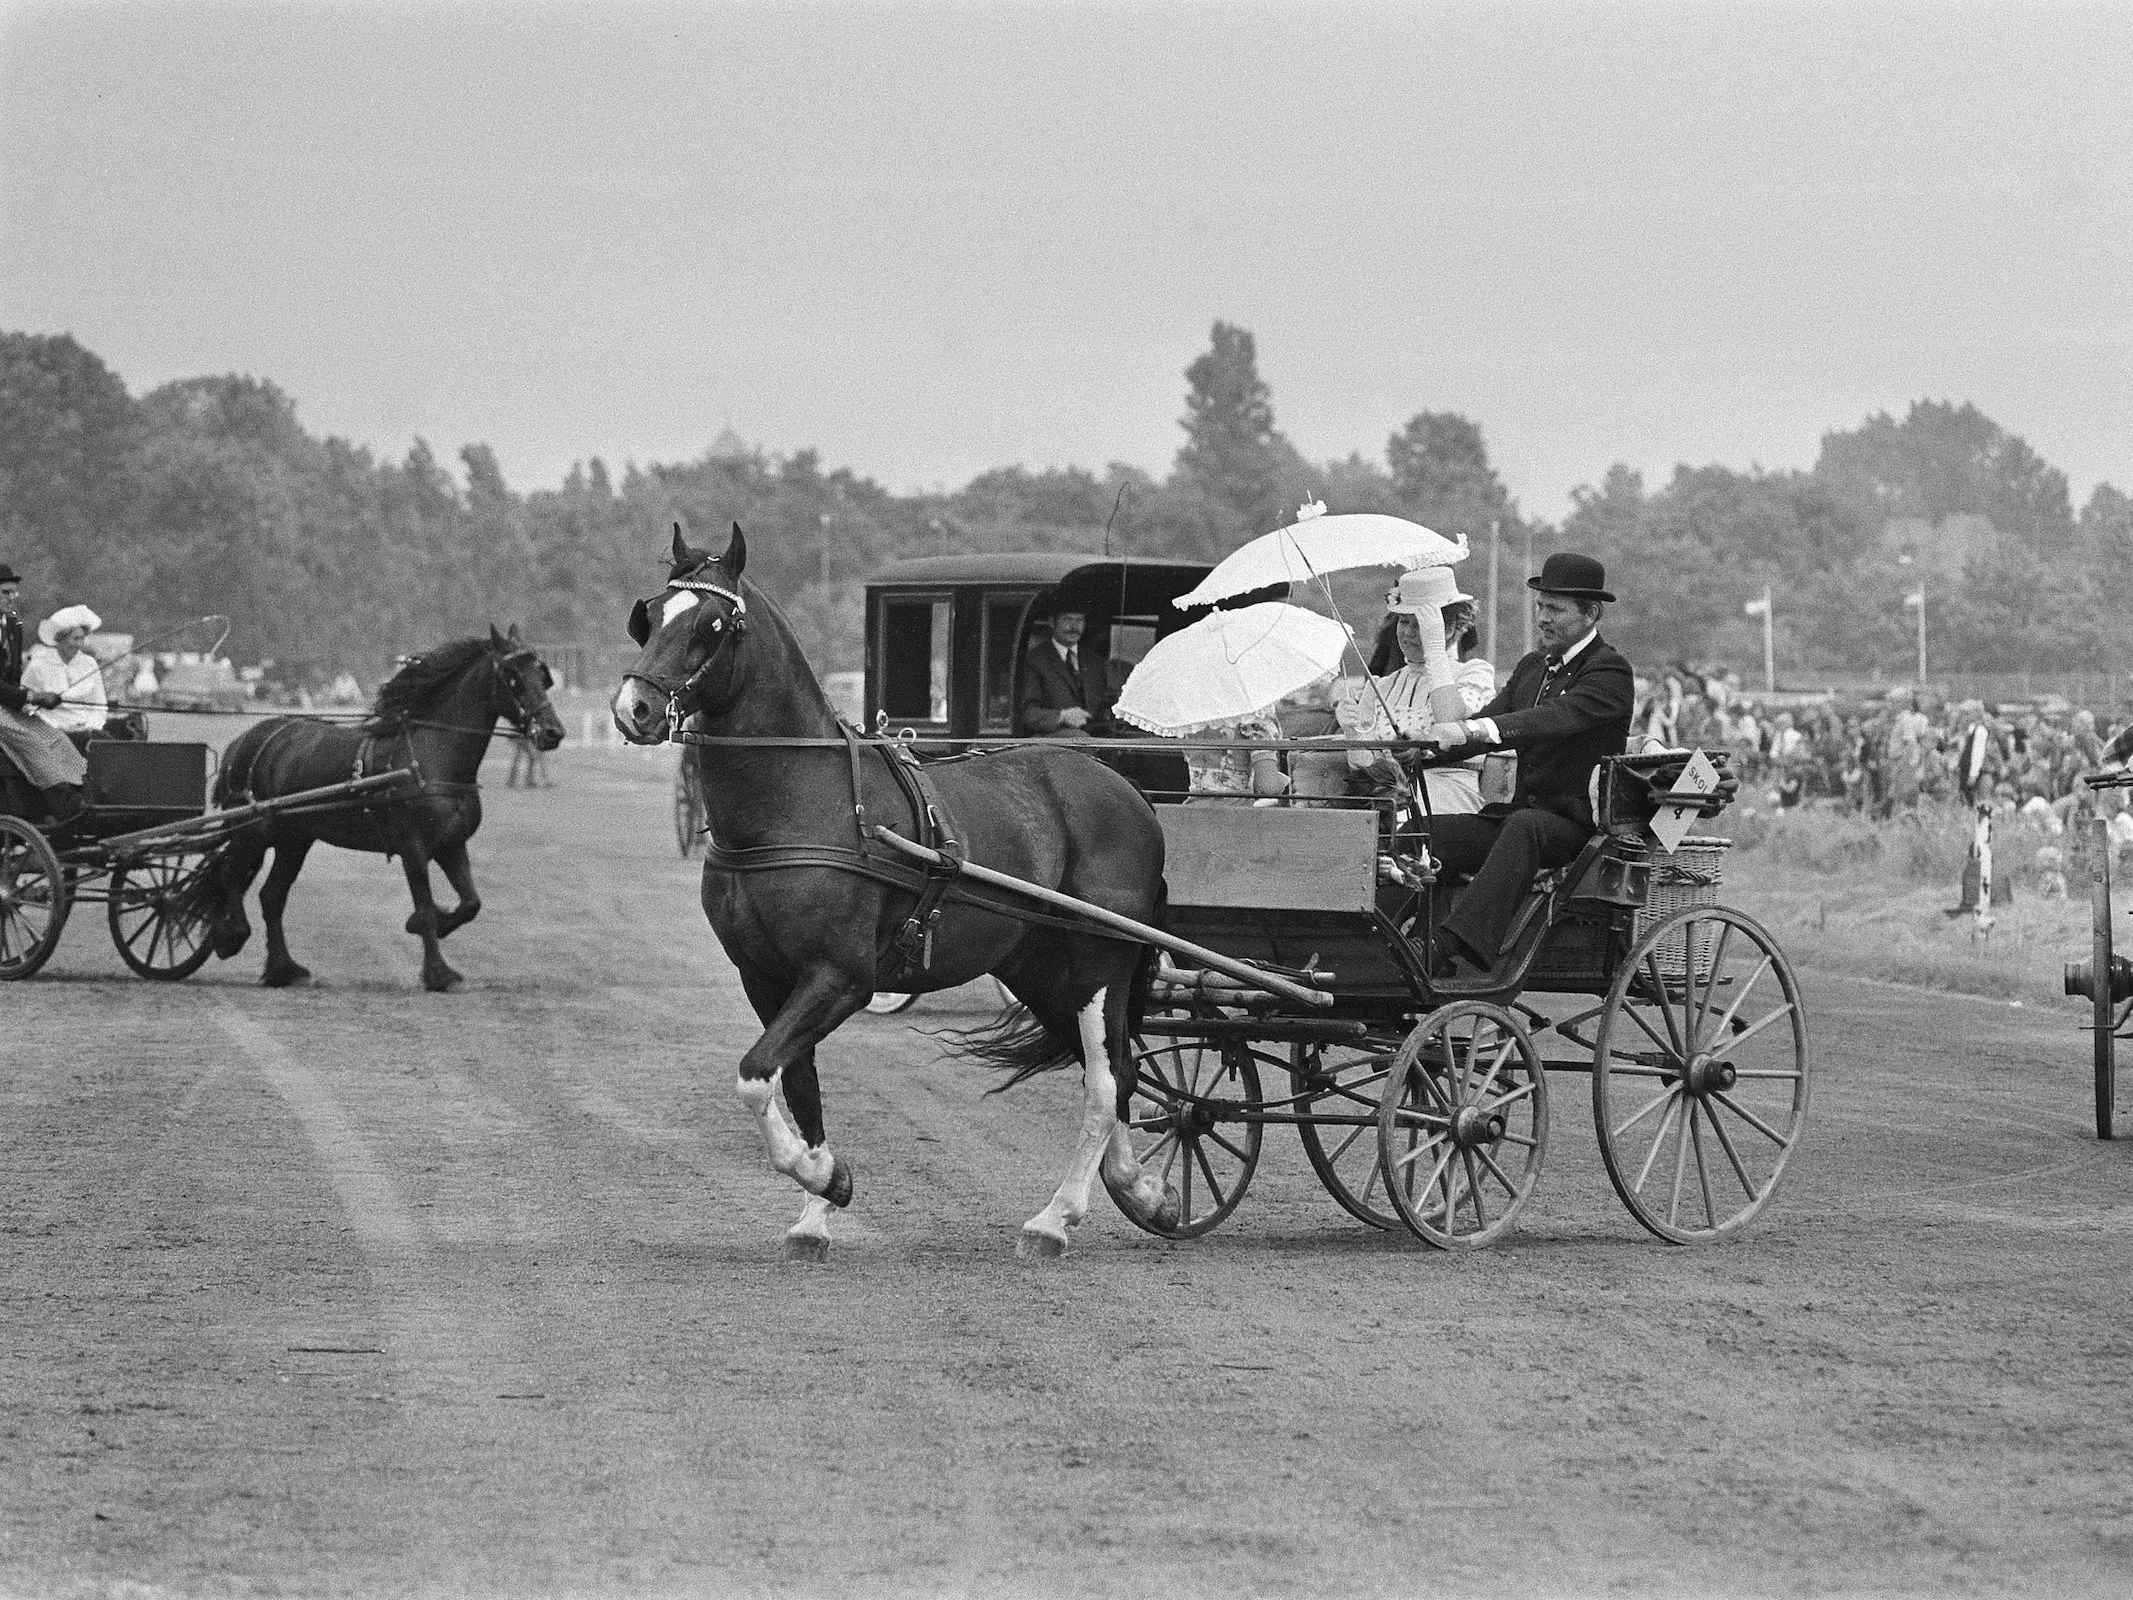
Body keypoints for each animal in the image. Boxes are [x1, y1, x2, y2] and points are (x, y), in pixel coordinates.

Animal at [210, 631, 567, 998]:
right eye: (513, 677)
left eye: (542, 676)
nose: (552, 732)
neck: (430, 758)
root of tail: (244, 740)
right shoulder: (413, 847)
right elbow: (425, 908)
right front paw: (438, 972)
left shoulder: (451, 844)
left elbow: (470, 903)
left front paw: (434, 926)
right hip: (253, 830)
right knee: (229, 875)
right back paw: (231, 935)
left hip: (294, 839)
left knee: (272, 896)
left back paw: (283, 969)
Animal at [614, 526, 1185, 1262]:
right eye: (651, 614)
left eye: (712, 626)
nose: (633, 708)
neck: (804, 803)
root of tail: (1128, 793)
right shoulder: (765, 977)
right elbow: (796, 1083)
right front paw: (816, 1209)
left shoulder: (841, 977)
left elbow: (753, 1074)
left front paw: (825, 1176)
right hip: (1035, 965)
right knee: (1110, 1069)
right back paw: (1138, 1190)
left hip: (1099, 960)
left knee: (1108, 1076)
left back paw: (1056, 1218)